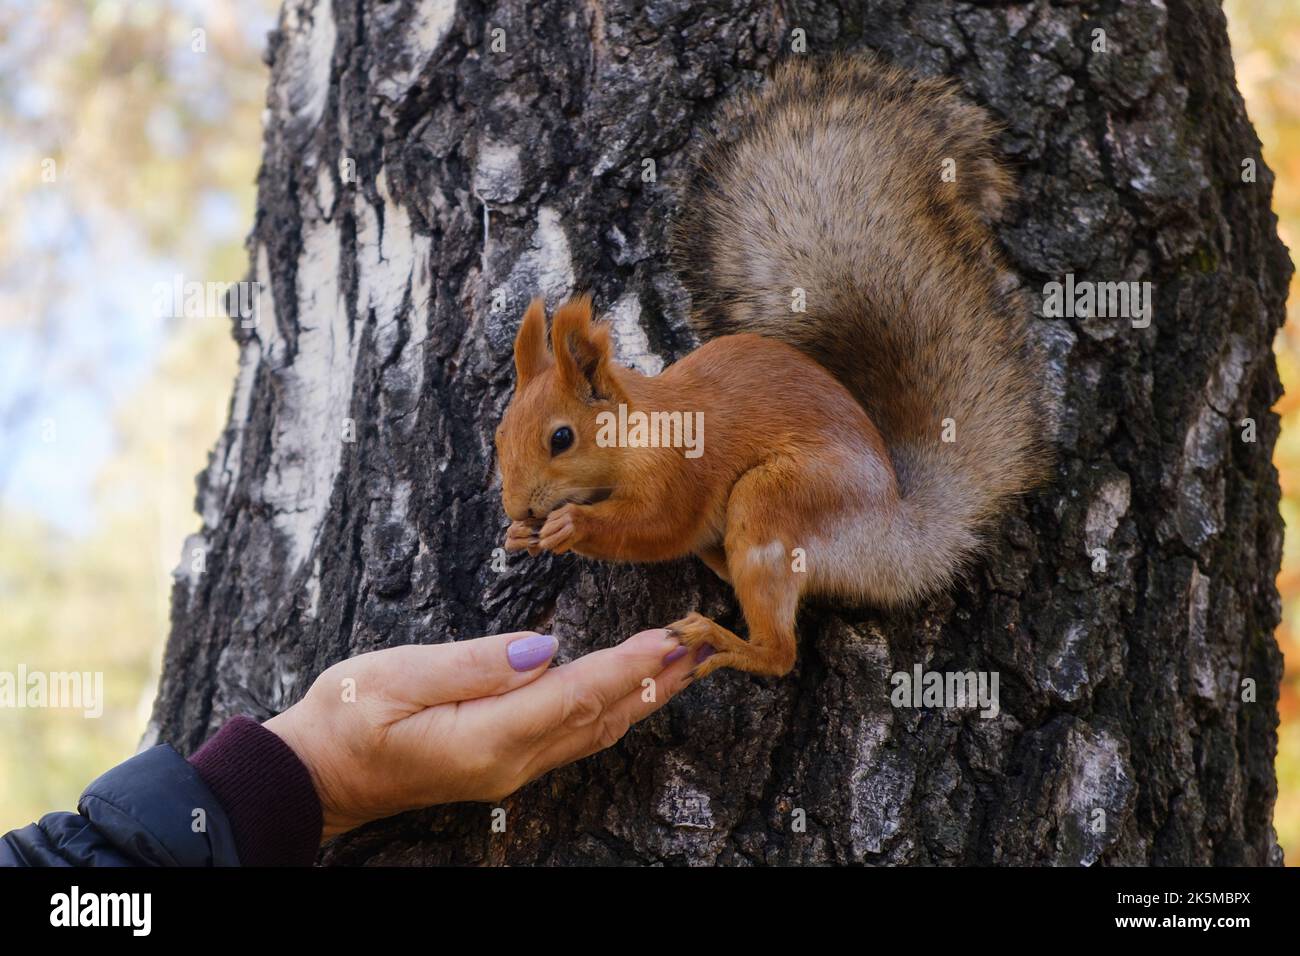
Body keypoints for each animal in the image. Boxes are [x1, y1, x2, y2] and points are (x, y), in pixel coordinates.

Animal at [495, 54, 1048, 681]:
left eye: (561, 438)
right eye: (499, 437)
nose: (516, 507)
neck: (640, 429)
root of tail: (897, 537)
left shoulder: (680, 468)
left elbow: (659, 526)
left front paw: (573, 525)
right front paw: (520, 534)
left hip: (777, 501)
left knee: (780, 653)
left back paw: (720, 639)